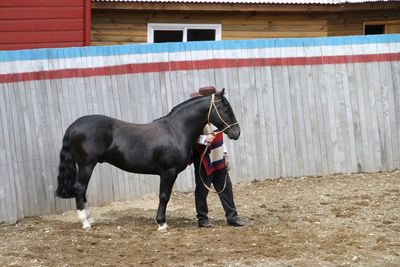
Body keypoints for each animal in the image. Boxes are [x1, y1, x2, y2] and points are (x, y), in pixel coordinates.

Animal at [54, 89, 239, 231]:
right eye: (226, 109)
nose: (236, 132)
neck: (176, 131)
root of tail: (74, 126)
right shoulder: (168, 172)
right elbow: (164, 196)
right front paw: (161, 223)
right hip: (86, 165)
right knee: (79, 188)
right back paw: (85, 223)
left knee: (83, 190)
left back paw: (90, 218)